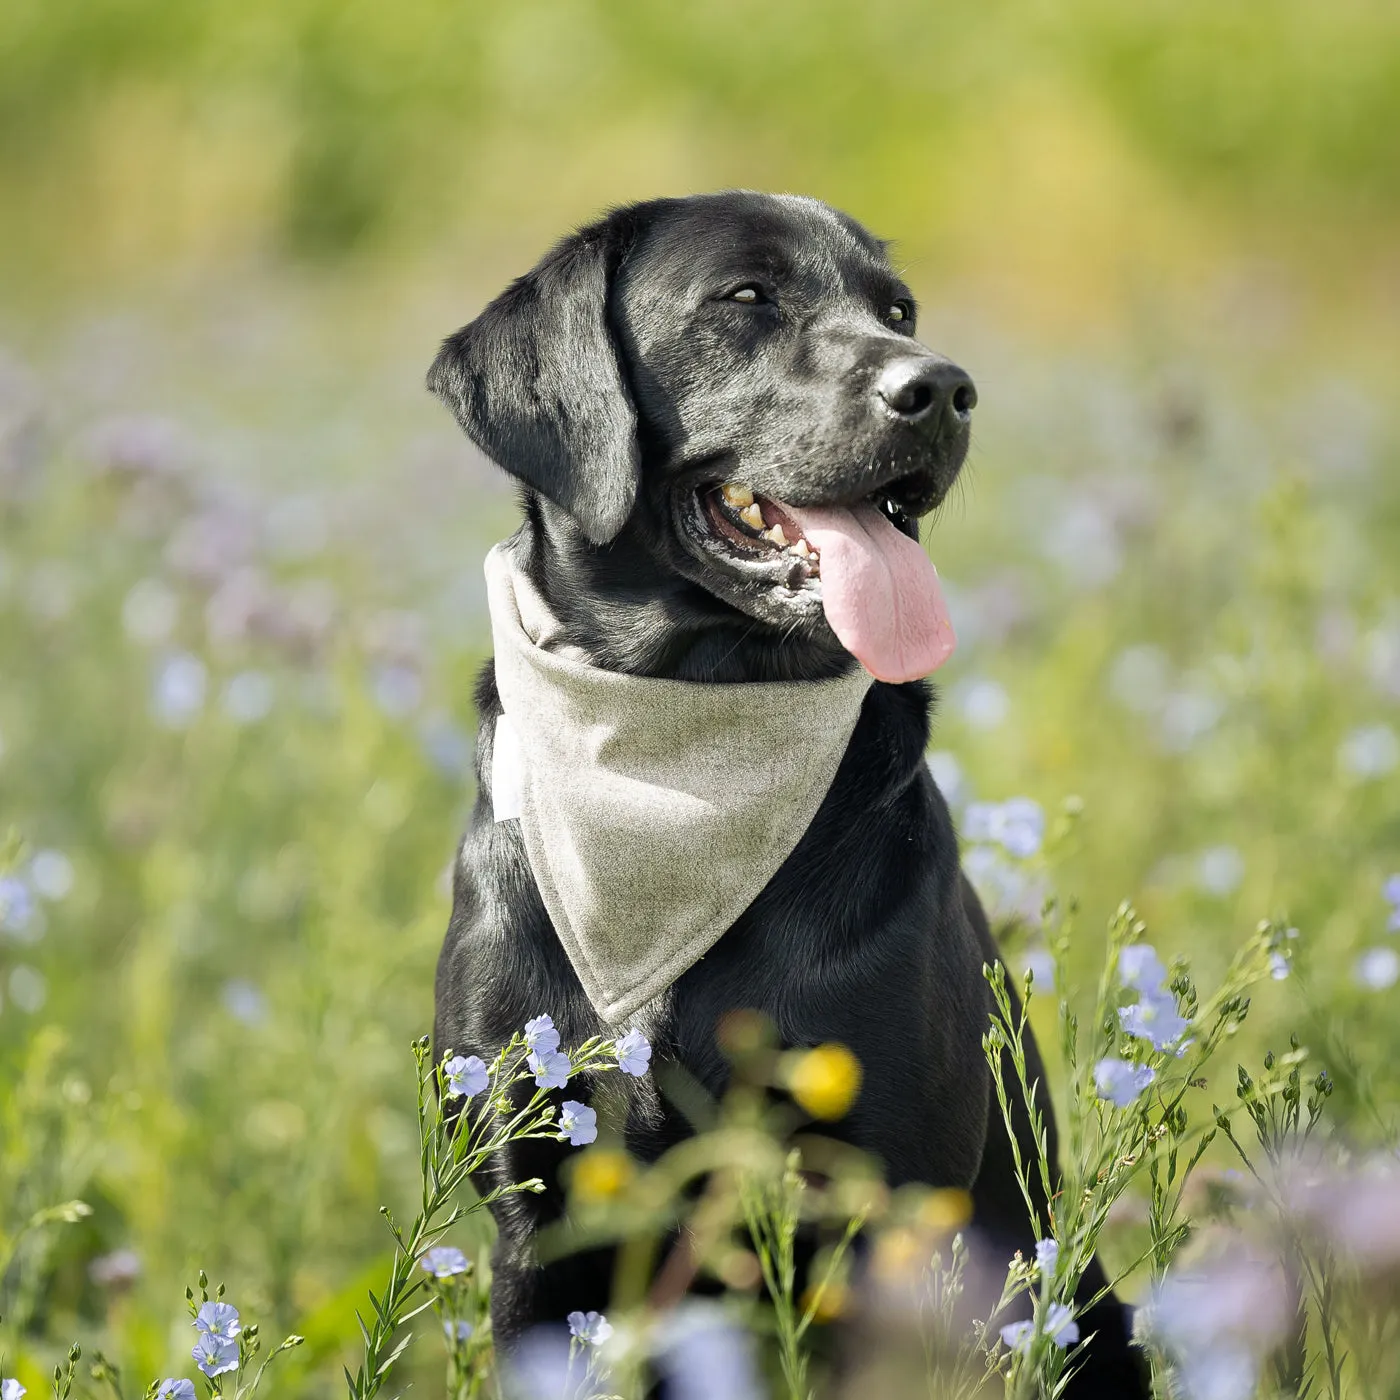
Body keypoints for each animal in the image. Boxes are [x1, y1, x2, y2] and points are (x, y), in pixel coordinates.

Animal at [428, 191, 1148, 1394]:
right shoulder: (538, 1222)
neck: (680, 765)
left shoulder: (894, 1216)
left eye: (897, 310)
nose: (942, 388)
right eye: (747, 297)